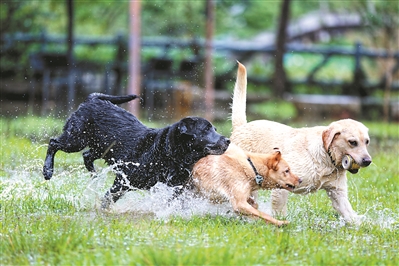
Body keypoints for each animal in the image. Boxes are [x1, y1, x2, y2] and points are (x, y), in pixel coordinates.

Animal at [42, 93, 230, 208]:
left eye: (214, 128)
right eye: (206, 130)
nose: (227, 140)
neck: (169, 154)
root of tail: (93, 99)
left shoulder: (178, 187)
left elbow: (176, 199)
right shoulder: (123, 181)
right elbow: (108, 198)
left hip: (102, 148)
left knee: (87, 155)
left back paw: (94, 175)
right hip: (75, 139)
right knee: (53, 143)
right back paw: (47, 171)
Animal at [230, 61, 374, 223]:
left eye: (367, 142)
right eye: (352, 142)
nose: (368, 161)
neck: (325, 157)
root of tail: (241, 127)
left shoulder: (338, 192)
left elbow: (351, 216)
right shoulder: (281, 187)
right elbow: (279, 212)